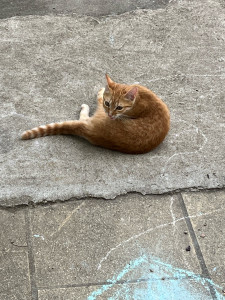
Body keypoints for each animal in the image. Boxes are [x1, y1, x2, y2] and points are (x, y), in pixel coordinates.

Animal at [22, 74, 170, 154]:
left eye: (119, 107)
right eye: (107, 103)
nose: (110, 115)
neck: (139, 98)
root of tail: (91, 131)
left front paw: (101, 91)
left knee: (84, 116)